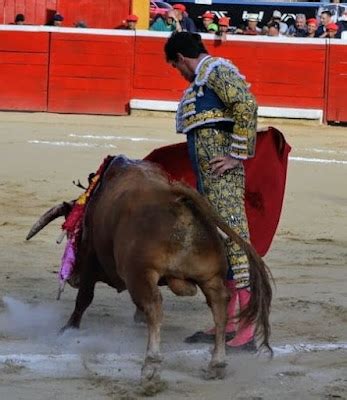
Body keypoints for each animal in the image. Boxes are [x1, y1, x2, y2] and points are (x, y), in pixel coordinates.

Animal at [27, 158, 274, 390]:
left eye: (72, 237)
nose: (71, 279)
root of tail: (175, 196)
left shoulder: (90, 259)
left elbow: (84, 299)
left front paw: (68, 328)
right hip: (210, 277)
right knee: (219, 306)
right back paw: (217, 364)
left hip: (139, 273)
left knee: (154, 306)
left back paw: (151, 366)